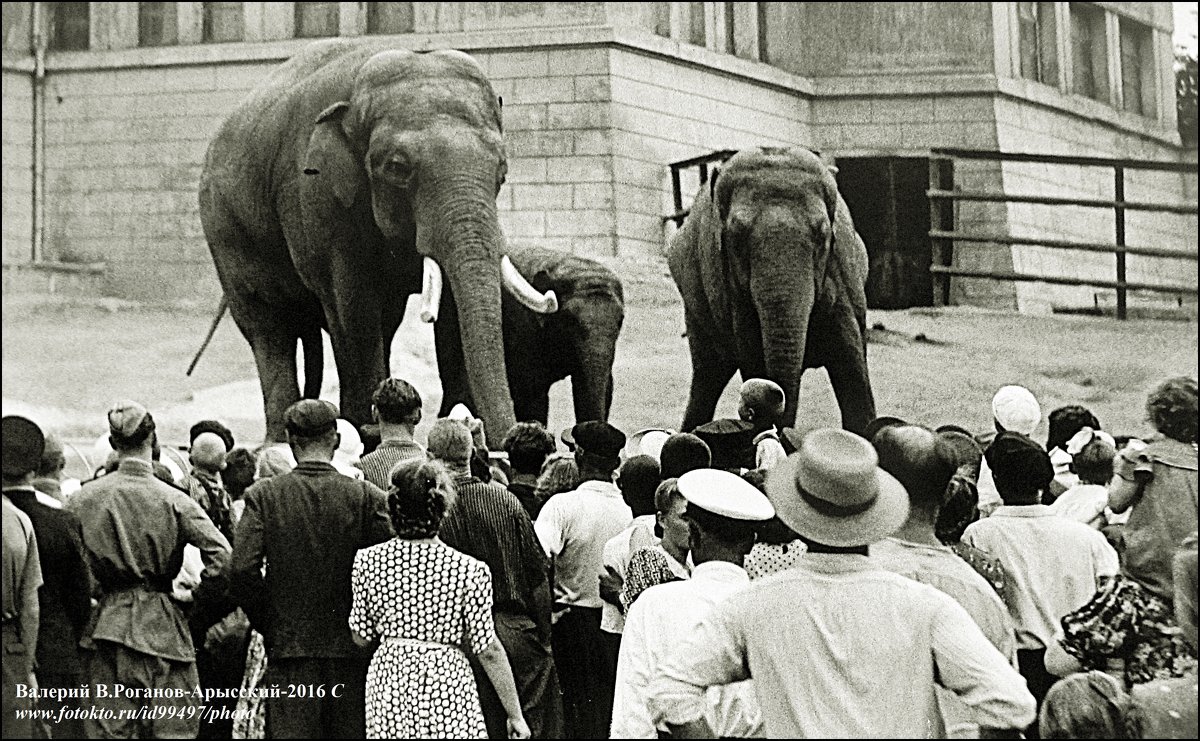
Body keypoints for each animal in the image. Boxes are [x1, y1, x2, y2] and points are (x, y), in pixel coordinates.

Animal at [196, 40, 552, 443]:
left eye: (502, 171)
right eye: (397, 168)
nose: (507, 439)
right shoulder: (315, 195)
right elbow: (354, 303)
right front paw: (366, 428)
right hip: (226, 231)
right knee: (268, 328)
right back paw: (280, 439)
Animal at [672, 148, 878, 436]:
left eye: (822, 234)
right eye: (736, 236)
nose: (753, 411)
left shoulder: (842, 271)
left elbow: (850, 356)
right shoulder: (730, 288)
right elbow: (752, 351)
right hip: (696, 309)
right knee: (708, 372)